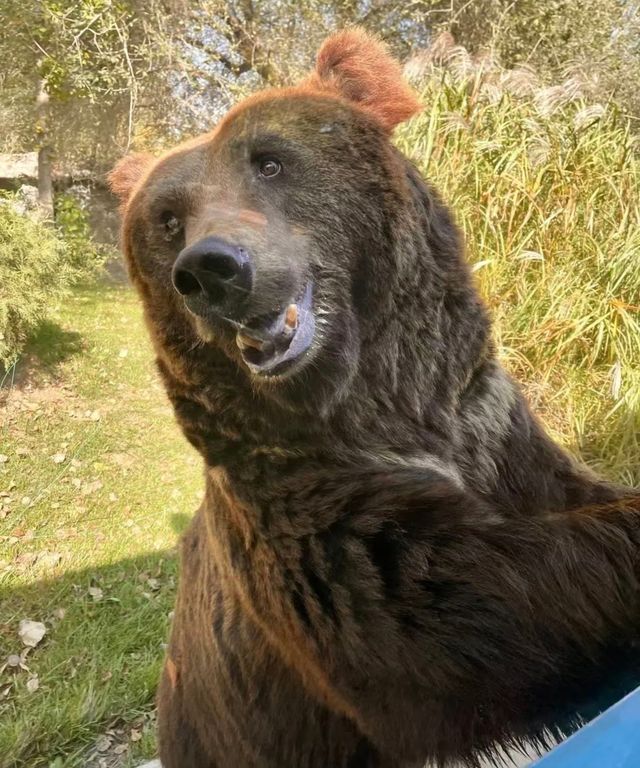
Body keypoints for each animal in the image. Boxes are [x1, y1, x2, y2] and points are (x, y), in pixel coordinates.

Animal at [110, 28, 640, 768]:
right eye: (167, 219)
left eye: (271, 161)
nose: (212, 269)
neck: (378, 401)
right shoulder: (313, 519)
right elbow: (448, 617)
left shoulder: (491, 429)